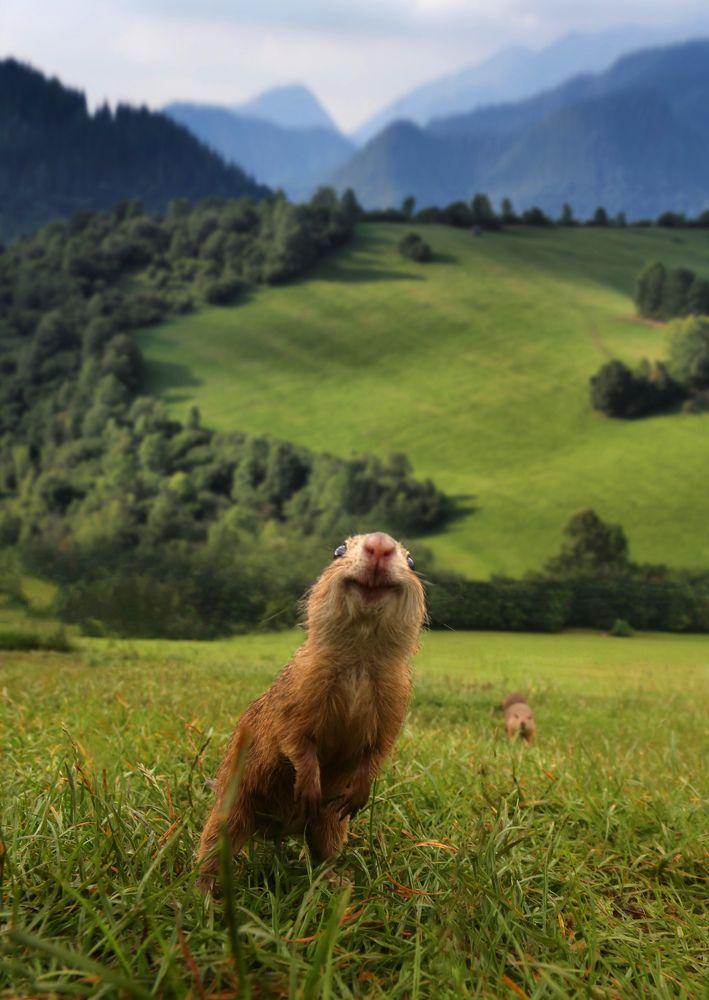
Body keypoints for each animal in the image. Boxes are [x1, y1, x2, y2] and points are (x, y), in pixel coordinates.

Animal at [196, 531, 426, 893]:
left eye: (412, 561)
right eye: (338, 550)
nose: (379, 543)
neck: (359, 660)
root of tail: (277, 829)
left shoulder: (393, 705)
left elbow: (377, 751)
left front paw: (359, 793)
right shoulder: (297, 696)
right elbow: (296, 740)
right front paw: (308, 787)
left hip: (329, 824)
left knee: (322, 854)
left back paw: (337, 881)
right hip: (231, 812)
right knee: (211, 852)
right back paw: (204, 892)